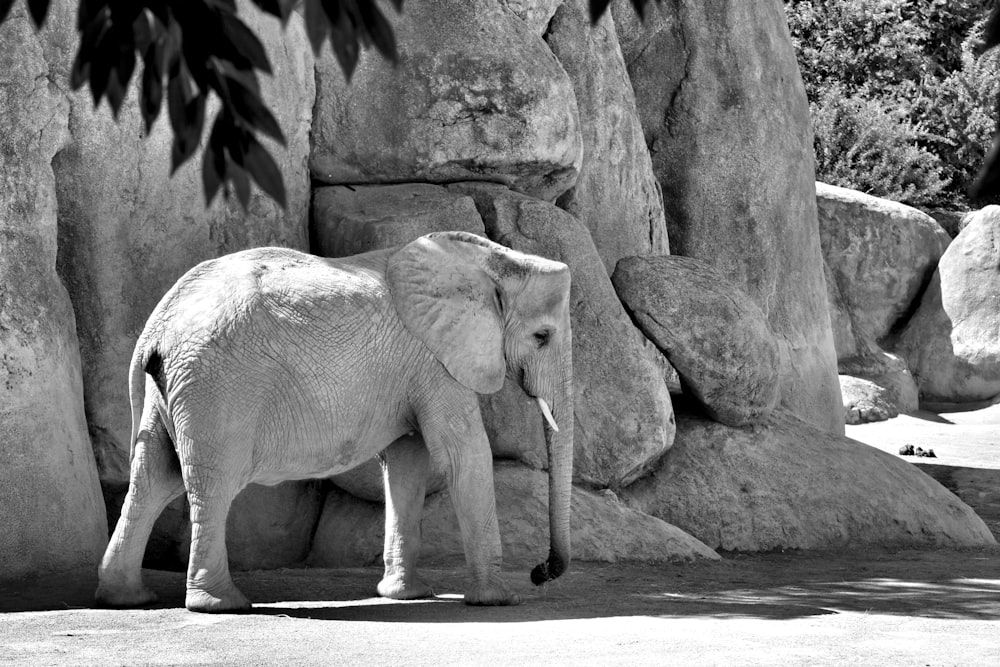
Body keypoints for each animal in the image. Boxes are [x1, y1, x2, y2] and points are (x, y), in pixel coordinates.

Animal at [98, 232, 580, 612]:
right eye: (542, 336)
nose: (540, 572)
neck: (490, 260)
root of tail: (158, 325)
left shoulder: (415, 368)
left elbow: (408, 461)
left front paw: (405, 595)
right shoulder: (435, 360)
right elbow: (464, 455)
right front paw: (498, 600)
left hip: (174, 387)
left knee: (154, 478)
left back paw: (126, 598)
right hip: (218, 386)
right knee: (212, 483)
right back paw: (222, 605)